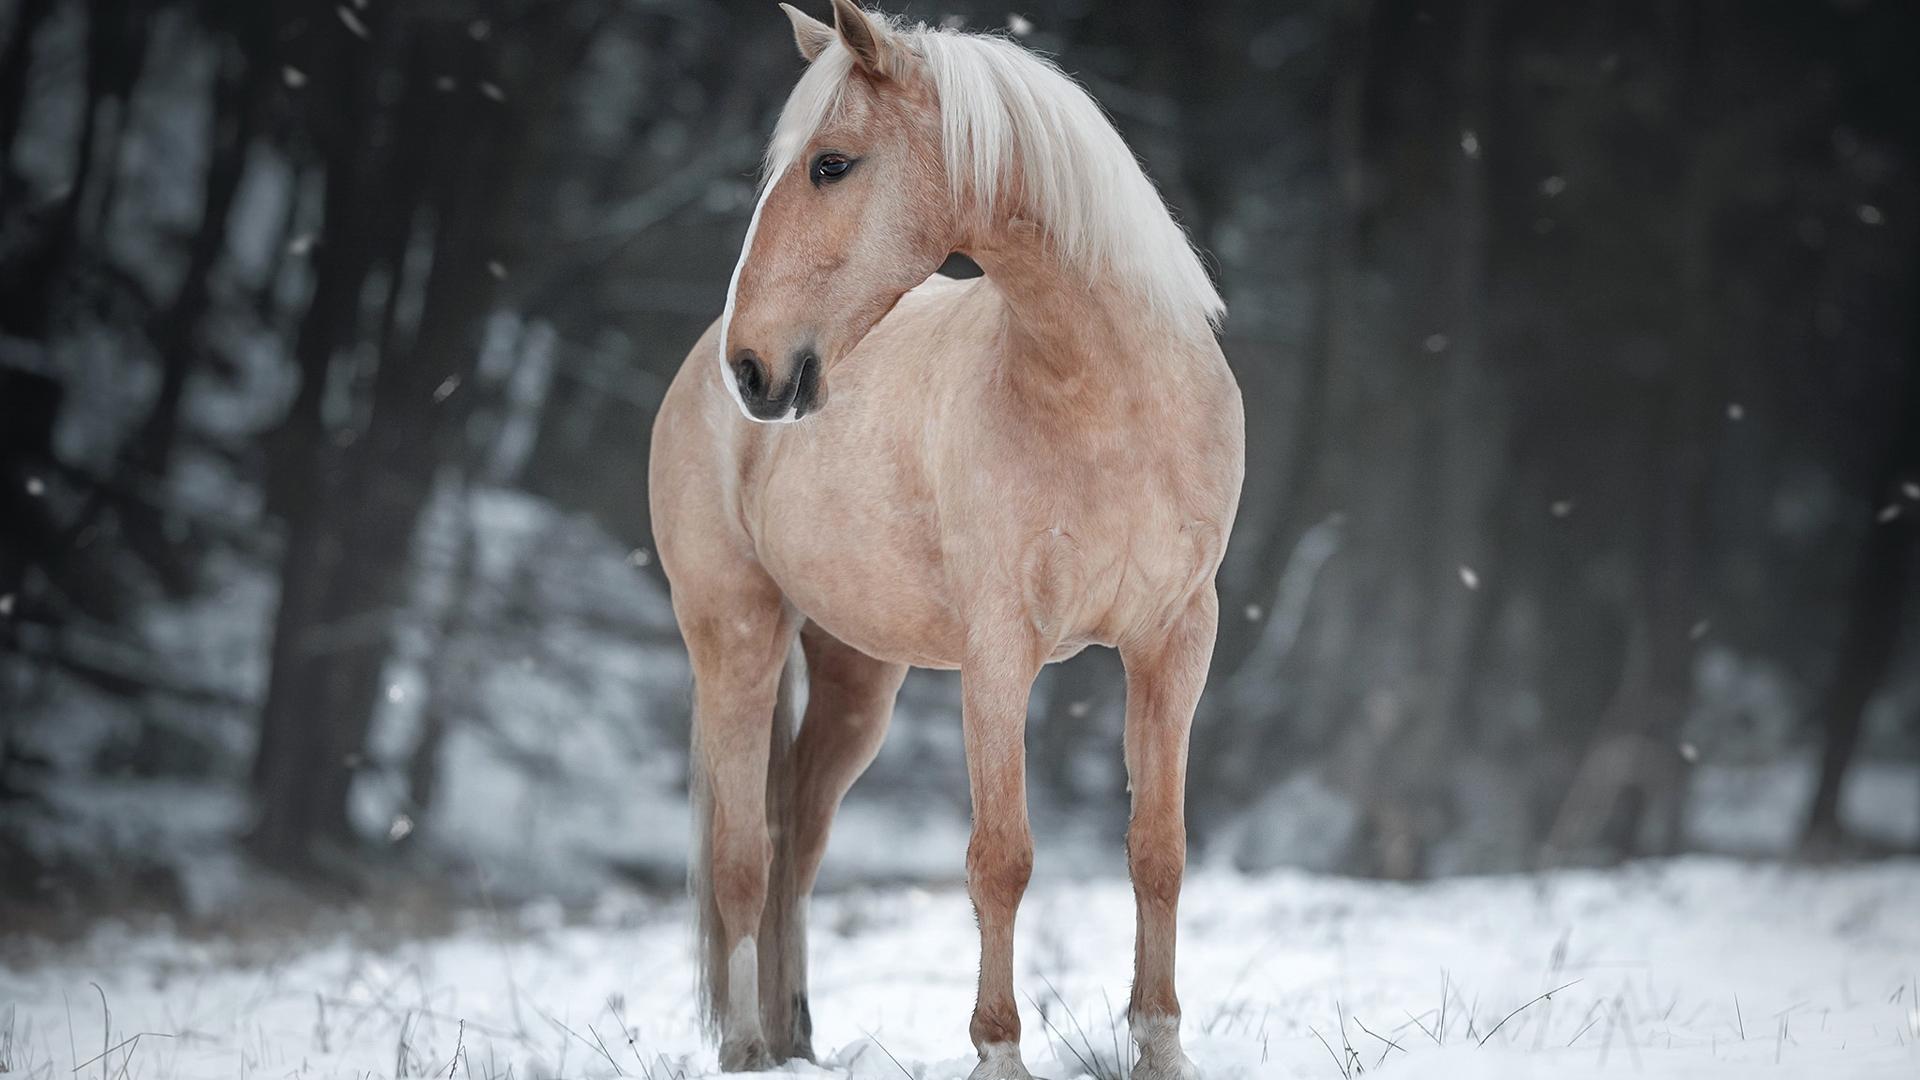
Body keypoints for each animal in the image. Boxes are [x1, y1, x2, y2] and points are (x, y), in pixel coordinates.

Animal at [647, 3, 1244, 1077]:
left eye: (832, 164)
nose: (755, 371)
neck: (1109, 403)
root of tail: (694, 374)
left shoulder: (1176, 641)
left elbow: (1159, 851)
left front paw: (1161, 1046)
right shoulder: (999, 652)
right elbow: (1000, 858)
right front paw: (998, 1049)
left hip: (857, 677)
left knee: (796, 839)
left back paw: (794, 1037)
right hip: (735, 639)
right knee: (743, 859)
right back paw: (750, 1045)